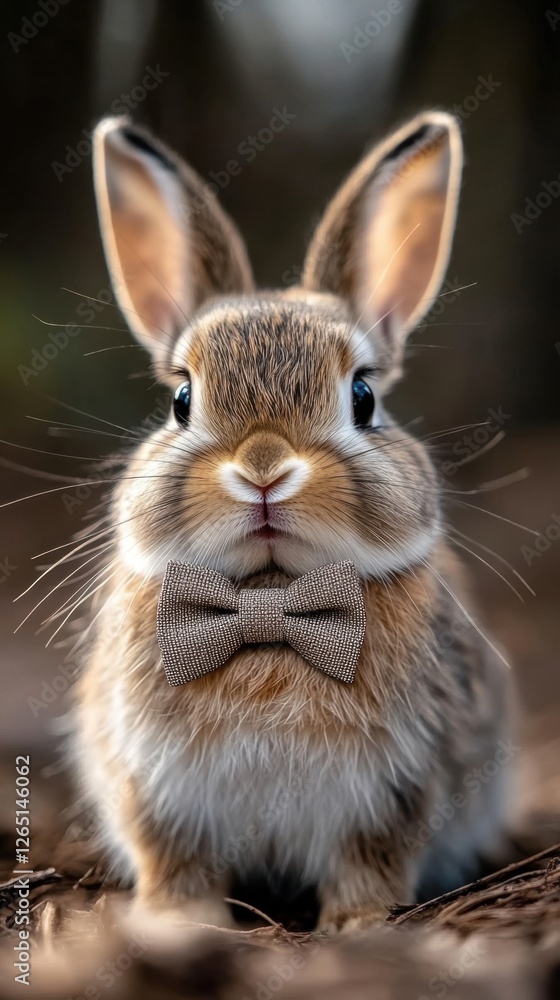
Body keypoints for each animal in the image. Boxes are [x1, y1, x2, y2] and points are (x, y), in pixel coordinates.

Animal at [73, 110, 515, 933]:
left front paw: (359, 925)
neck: (268, 599)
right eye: (182, 400)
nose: (264, 467)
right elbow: (173, 861)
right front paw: (177, 923)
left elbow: (369, 864)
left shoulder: (394, 792)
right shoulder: (157, 791)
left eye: (364, 398)